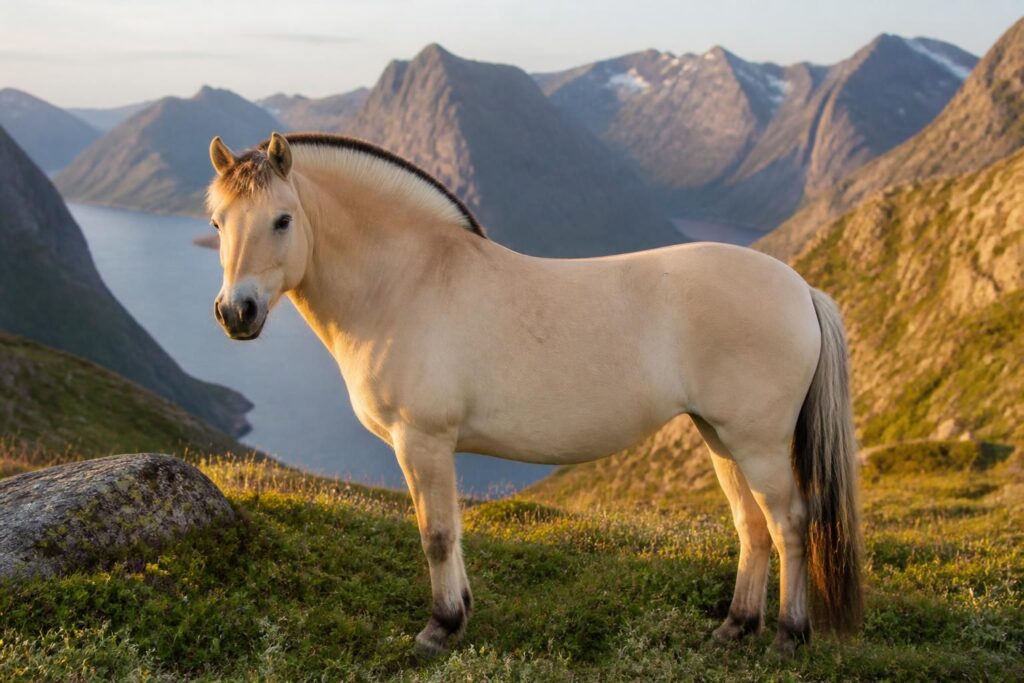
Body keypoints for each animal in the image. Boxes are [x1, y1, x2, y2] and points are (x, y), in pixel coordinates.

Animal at [205, 131, 863, 656]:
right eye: (217, 223)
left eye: (282, 219)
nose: (237, 313)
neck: (408, 280)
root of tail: (801, 288)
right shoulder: (434, 447)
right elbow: (452, 532)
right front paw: (461, 614)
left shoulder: (422, 441)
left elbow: (435, 534)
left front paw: (438, 629)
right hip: (719, 437)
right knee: (752, 526)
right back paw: (734, 628)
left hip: (758, 443)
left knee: (789, 522)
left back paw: (788, 636)